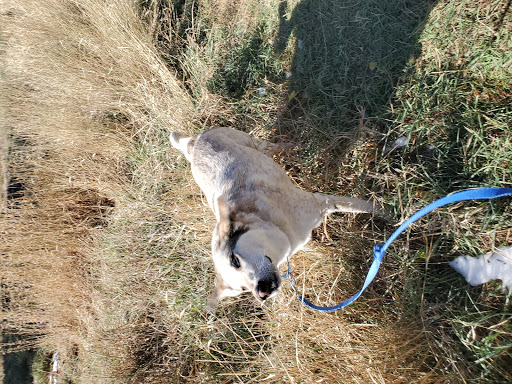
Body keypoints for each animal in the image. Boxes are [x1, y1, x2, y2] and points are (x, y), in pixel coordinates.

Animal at [170, 127, 378, 308]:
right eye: (242, 289)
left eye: (234, 260)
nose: (262, 293)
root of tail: (193, 143)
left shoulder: (321, 202)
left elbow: (368, 206)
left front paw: (385, 210)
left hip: (253, 142)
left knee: (274, 146)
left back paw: (295, 145)